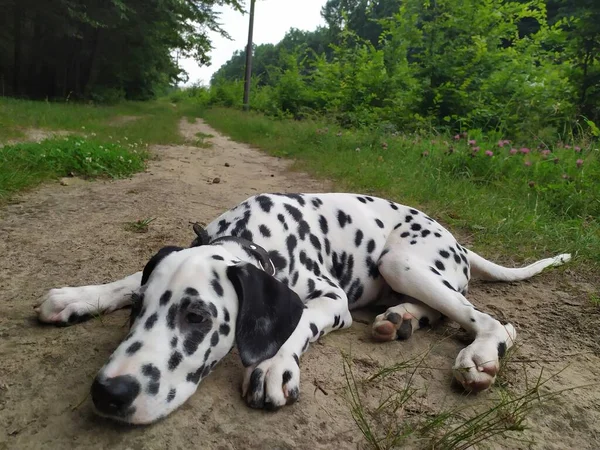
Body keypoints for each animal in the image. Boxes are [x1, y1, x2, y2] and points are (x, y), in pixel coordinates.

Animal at [35, 193, 568, 426]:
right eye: (137, 311)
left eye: (197, 318)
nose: (108, 393)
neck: (254, 238)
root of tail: (458, 242)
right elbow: (128, 279)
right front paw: (78, 296)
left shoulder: (330, 299)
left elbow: (297, 322)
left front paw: (273, 364)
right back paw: (402, 319)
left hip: (400, 261)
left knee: (494, 322)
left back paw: (479, 353)